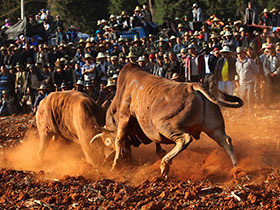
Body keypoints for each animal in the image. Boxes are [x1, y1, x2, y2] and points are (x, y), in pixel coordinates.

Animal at [92, 62, 243, 177]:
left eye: (107, 141)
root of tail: (193, 86)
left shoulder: (124, 117)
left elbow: (119, 139)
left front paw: (115, 164)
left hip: (165, 125)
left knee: (185, 139)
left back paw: (165, 165)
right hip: (214, 128)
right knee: (226, 142)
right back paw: (236, 168)